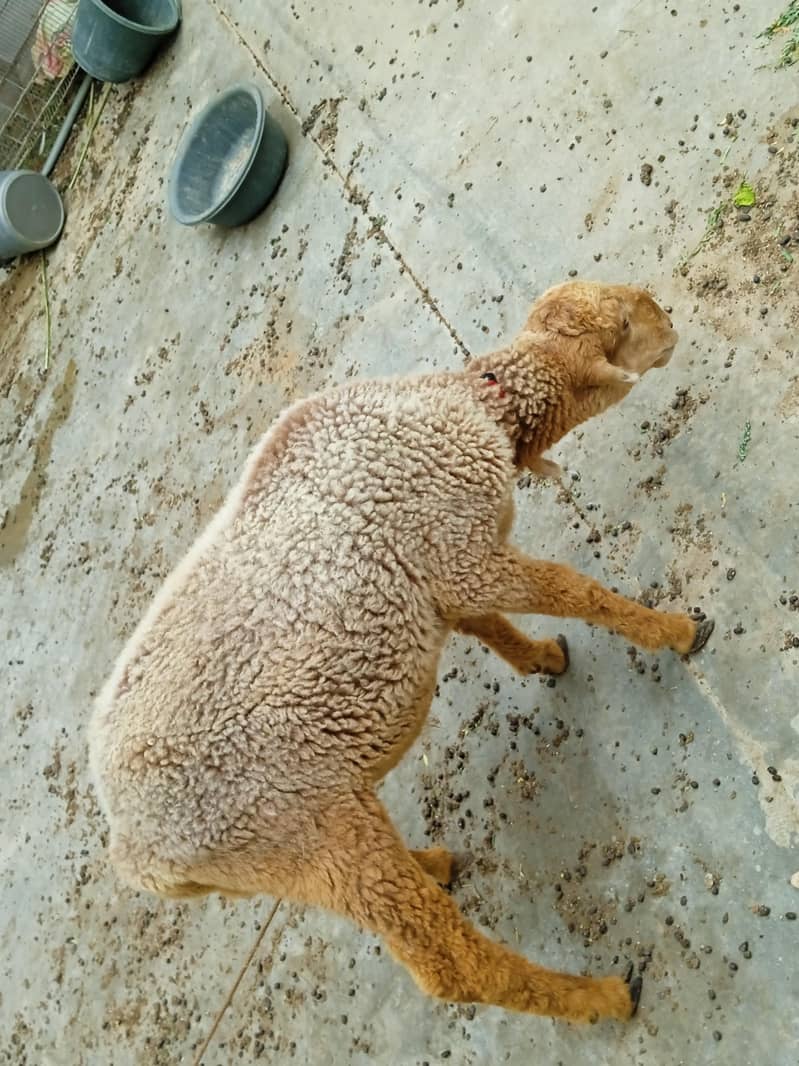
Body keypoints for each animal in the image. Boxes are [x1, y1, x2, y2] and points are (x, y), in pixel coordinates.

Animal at [89, 280, 714, 1027]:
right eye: (623, 323)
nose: (672, 321)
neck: (468, 406)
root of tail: (139, 858)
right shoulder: (463, 552)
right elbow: (572, 589)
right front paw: (673, 631)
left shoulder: (441, 577)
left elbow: (485, 624)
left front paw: (541, 658)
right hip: (305, 833)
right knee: (447, 968)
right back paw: (599, 997)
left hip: (298, 854)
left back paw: (434, 866)